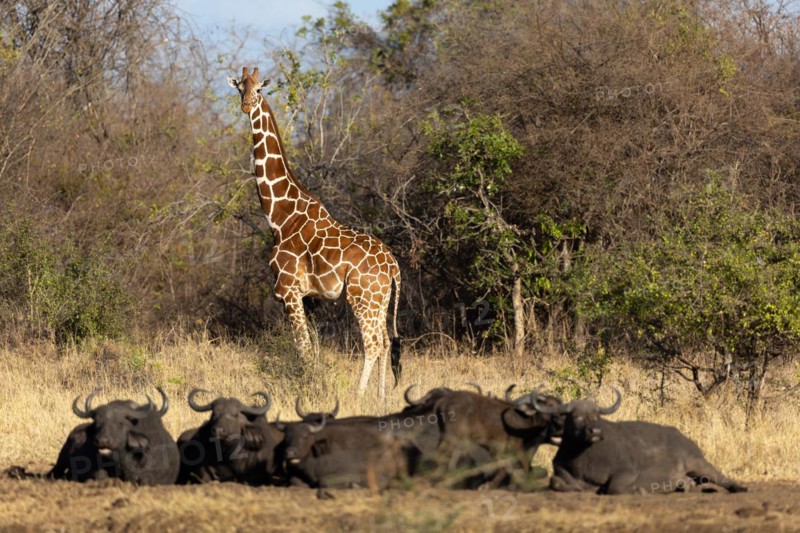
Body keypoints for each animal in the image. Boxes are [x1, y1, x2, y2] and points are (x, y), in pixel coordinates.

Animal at [227, 67, 402, 398]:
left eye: (259, 90)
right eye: (240, 88)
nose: (246, 106)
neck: (279, 217)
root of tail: (395, 267)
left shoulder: (288, 290)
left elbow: (303, 348)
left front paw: (309, 388)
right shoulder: (308, 297)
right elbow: (313, 347)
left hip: (362, 296)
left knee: (372, 343)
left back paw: (359, 394)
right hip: (382, 298)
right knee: (386, 341)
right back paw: (382, 396)